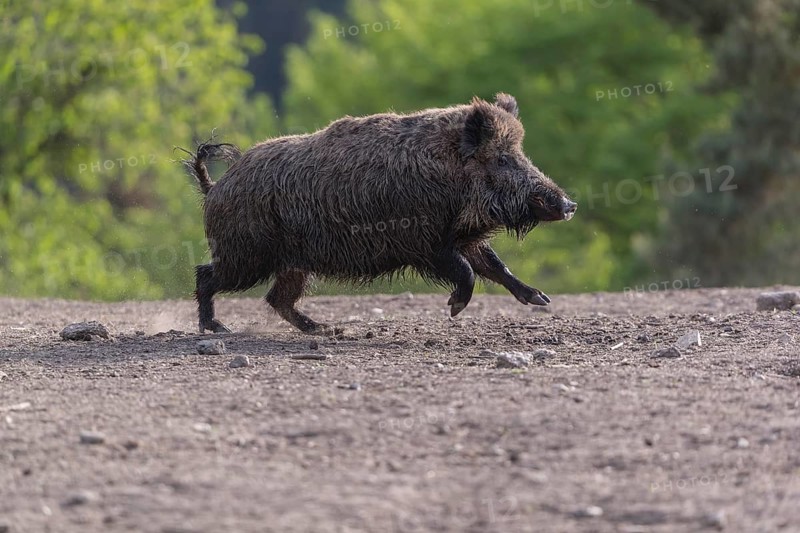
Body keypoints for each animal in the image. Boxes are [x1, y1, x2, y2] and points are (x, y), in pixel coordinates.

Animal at [182, 93, 576, 334]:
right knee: (206, 275)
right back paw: (216, 328)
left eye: (521, 154)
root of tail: (214, 187)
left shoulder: (462, 238)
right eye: (503, 159)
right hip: (245, 256)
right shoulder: (423, 242)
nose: (569, 205)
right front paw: (453, 308)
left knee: (277, 298)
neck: (448, 175)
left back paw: (327, 329)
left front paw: (540, 300)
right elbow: (467, 271)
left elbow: (495, 266)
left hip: (292, 263)